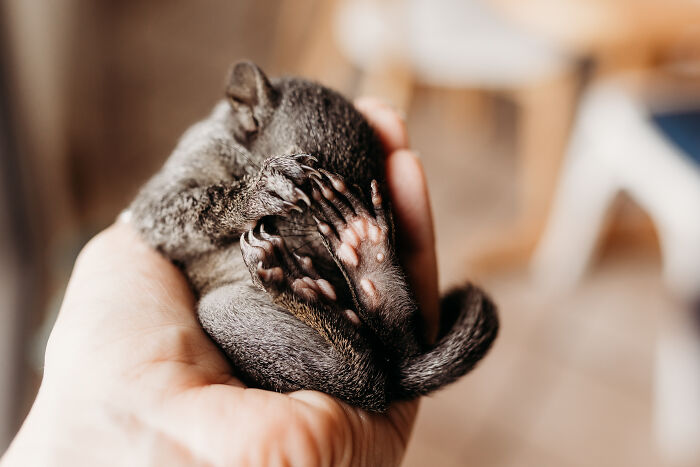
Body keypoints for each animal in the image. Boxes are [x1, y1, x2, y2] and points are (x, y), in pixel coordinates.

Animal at [127, 61, 499, 412]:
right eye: (309, 183)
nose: (330, 266)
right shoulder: (181, 172)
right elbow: (178, 213)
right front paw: (260, 190)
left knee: (389, 359)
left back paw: (364, 254)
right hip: (231, 313)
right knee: (369, 378)